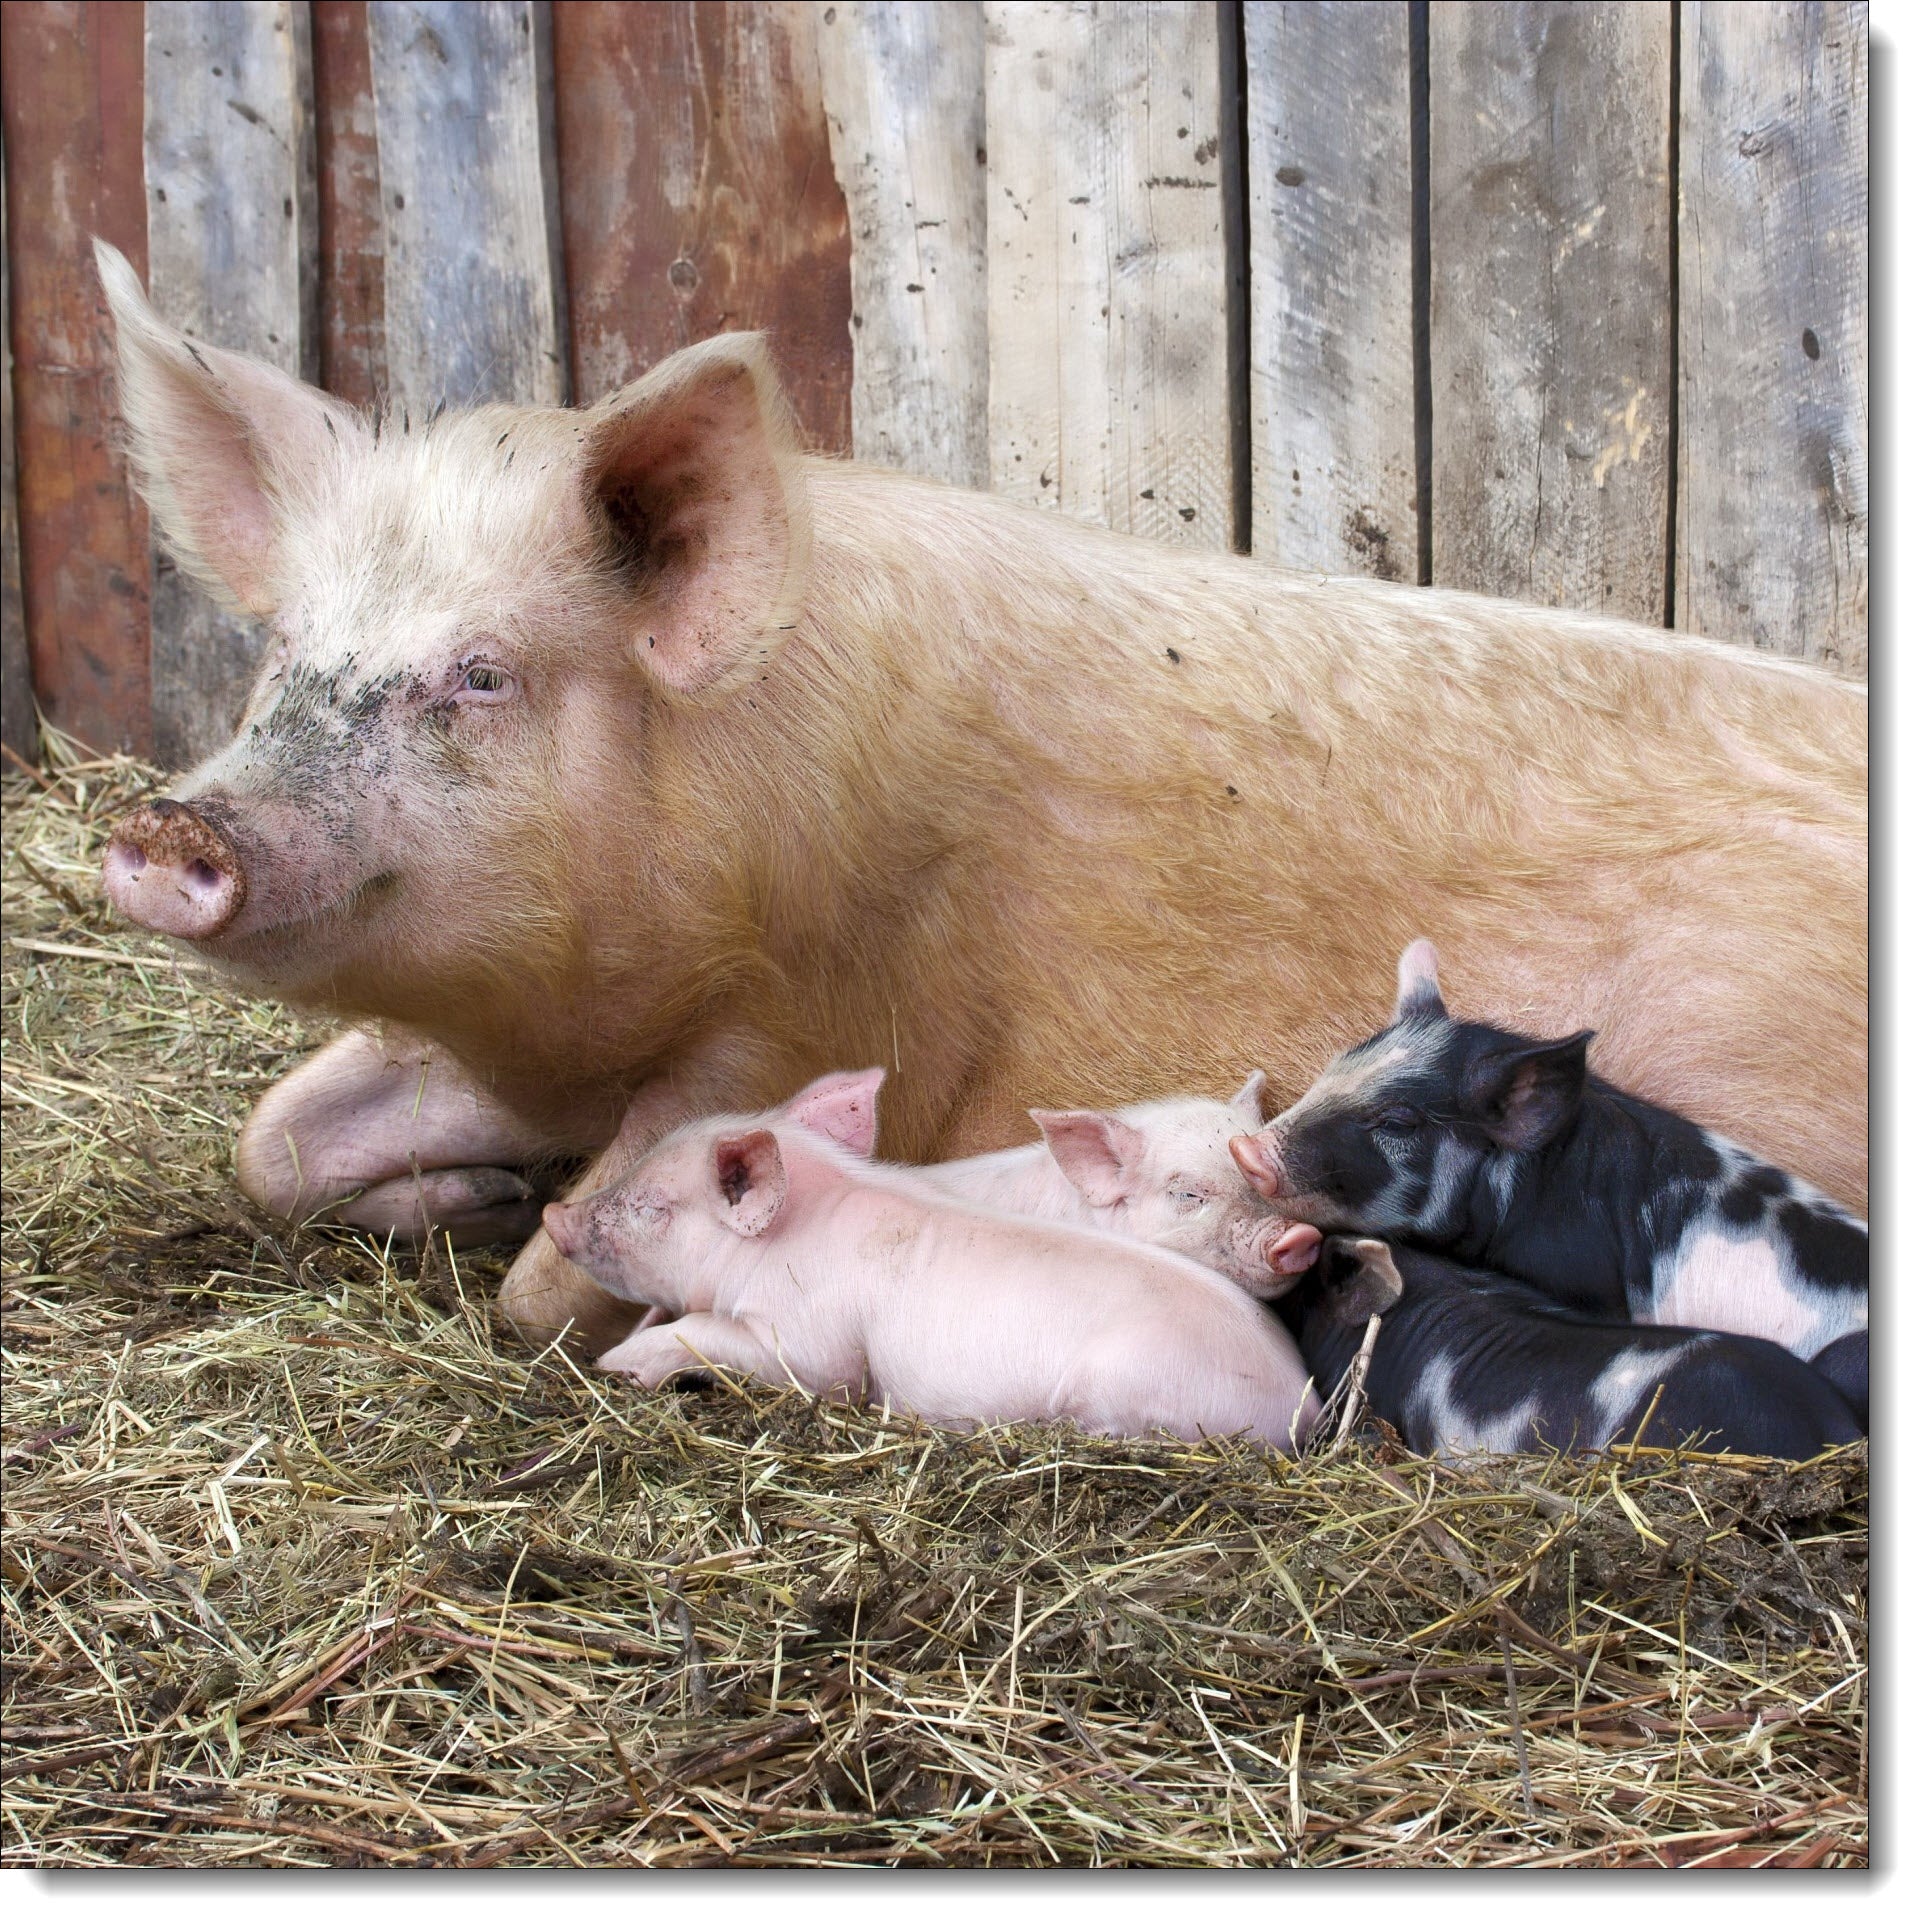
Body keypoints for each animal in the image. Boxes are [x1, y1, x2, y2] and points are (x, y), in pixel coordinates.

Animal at [89, 242, 1865, 1363]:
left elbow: (562, 1261)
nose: (171, 830)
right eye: (282, 650)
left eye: (480, 673)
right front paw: (462, 1193)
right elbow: (273, 1138)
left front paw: (532, 1245)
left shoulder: (819, 1013)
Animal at [538, 1083, 1324, 1450]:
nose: (552, 1214)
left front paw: (613, 1365)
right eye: (1188, 1192)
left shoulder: (812, 1344)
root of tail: (1306, 1399)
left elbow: (739, 1344)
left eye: (653, 1207)